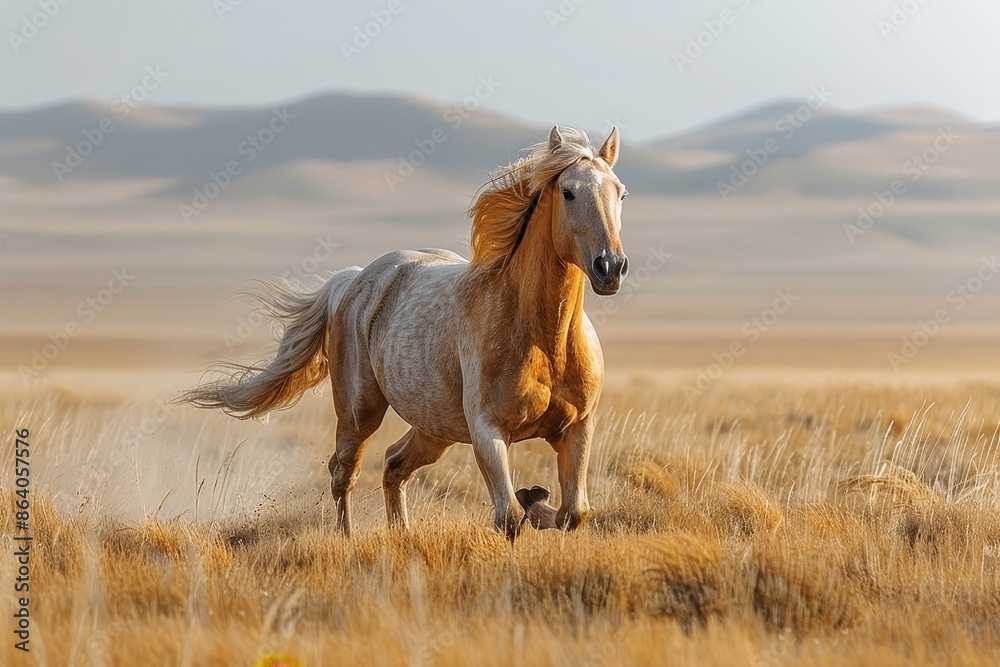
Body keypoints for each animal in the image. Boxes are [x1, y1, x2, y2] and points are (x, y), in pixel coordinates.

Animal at [180, 125, 629, 539]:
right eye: (568, 192)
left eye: (620, 193)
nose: (610, 267)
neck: (545, 340)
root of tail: (356, 280)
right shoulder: (488, 431)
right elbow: (508, 518)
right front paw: (529, 499)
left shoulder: (577, 427)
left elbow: (574, 514)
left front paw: (536, 498)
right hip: (360, 412)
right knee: (343, 471)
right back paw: (348, 539)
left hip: (435, 429)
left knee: (394, 465)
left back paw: (403, 533)